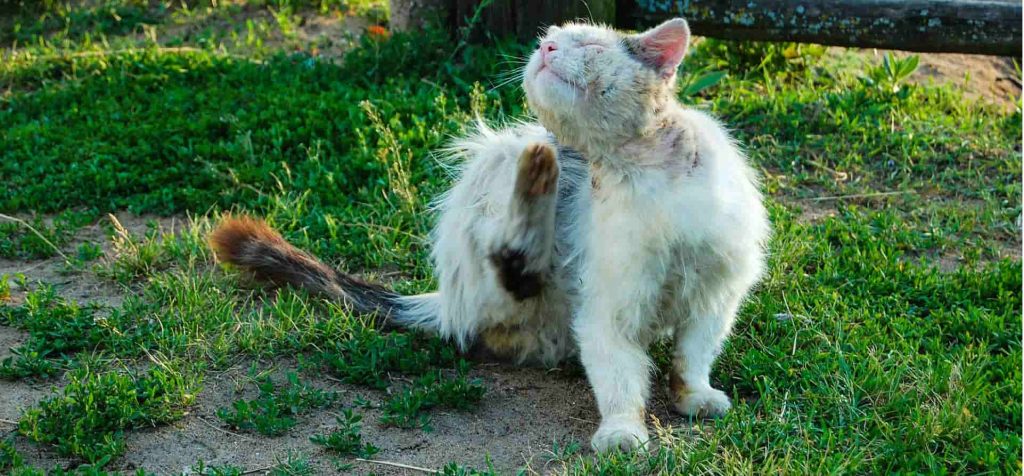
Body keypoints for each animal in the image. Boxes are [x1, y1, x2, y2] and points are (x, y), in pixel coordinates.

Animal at [209, 16, 770, 450]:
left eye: (588, 46)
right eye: (549, 40)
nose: (544, 49)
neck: (642, 171)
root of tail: (445, 299)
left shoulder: (716, 293)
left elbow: (692, 354)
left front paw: (695, 396)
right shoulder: (608, 308)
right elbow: (618, 377)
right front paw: (621, 431)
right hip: (498, 162)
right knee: (507, 267)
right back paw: (537, 179)